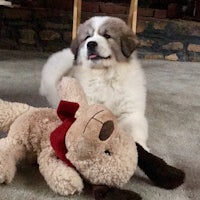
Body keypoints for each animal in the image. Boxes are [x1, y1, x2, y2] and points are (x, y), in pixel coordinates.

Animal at [39, 16, 148, 150]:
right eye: (87, 37)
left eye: (107, 35)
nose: (90, 43)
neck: (105, 76)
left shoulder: (131, 113)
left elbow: (134, 130)